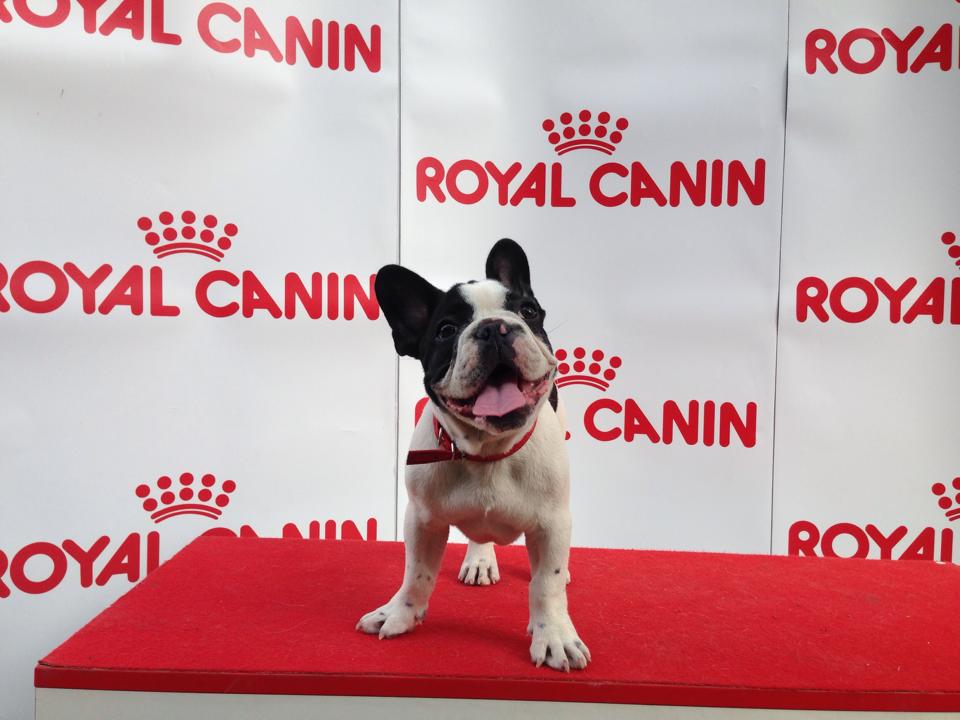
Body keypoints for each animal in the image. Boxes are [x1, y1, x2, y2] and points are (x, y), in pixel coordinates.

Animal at [356, 238, 589, 672]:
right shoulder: (422, 520)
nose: (494, 327)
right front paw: (400, 614)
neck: (488, 452)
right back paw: (480, 559)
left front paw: (554, 636)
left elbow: (545, 584)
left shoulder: (551, 523)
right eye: (447, 330)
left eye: (527, 311)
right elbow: (416, 573)